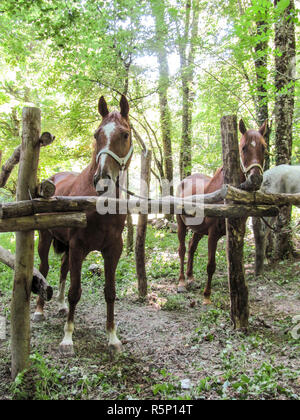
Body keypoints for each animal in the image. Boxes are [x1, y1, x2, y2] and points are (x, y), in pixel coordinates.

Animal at [33, 95, 133, 354]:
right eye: (97, 134)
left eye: (125, 135)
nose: (103, 179)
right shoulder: (78, 247)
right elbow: (75, 292)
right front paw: (67, 338)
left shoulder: (112, 250)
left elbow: (110, 292)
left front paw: (112, 337)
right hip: (46, 238)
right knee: (44, 269)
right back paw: (39, 310)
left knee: (63, 269)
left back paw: (60, 306)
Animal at [176, 120, 268, 302]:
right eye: (243, 148)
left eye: (263, 147)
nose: (255, 178)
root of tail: (184, 180)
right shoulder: (212, 233)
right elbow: (211, 265)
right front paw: (207, 295)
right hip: (181, 224)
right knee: (182, 249)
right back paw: (182, 282)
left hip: (199, 229)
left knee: (191, 247)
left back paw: (190, 277)